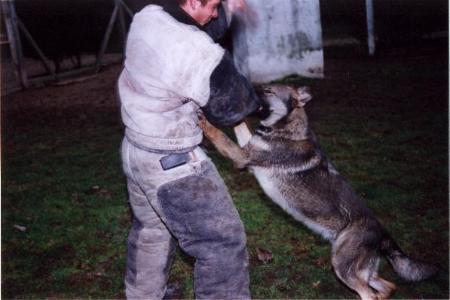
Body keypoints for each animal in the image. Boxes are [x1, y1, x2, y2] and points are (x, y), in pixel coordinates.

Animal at [200, 84, 436, 300]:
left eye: (268, 91)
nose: (245, 92)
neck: (285, 129)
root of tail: (383, 233)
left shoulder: (242, 157)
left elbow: (216, 133)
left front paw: (202, 119)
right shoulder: (246, 157)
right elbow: (239, 126)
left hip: (343, 267)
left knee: (370, 294)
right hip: (362, 271)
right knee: (388, 288)